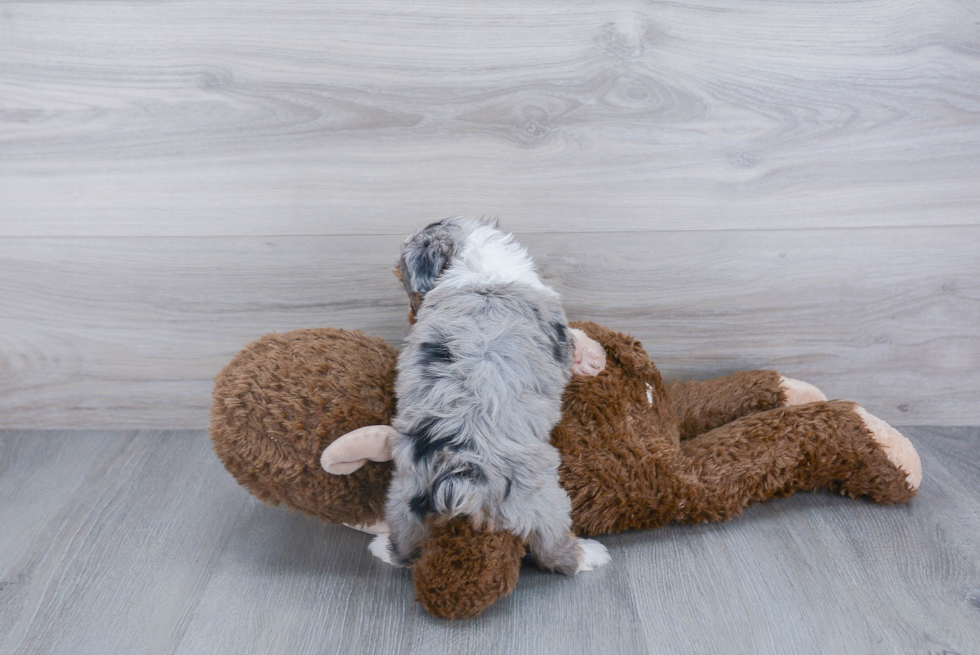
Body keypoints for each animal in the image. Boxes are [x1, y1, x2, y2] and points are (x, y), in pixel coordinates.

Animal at [372, 219, 608, 576]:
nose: (412, 317)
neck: (477, 267)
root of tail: (460, 477)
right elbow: (576, 337)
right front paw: (593, 356)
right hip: (541, 500)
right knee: (554, 551)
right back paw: (591, 554)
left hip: (404, 498)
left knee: (405, 550)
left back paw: (379, 547)